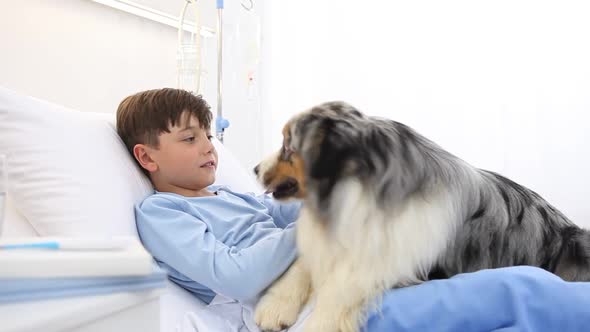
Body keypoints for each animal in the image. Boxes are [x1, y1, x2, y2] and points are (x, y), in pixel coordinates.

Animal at [254, 101, 590, 332]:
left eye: (288, 146)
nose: (256, 168)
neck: (357, 186)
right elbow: (303, 263)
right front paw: (275, 306)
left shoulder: (397, 255)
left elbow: (344, 283)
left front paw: (318, 323)